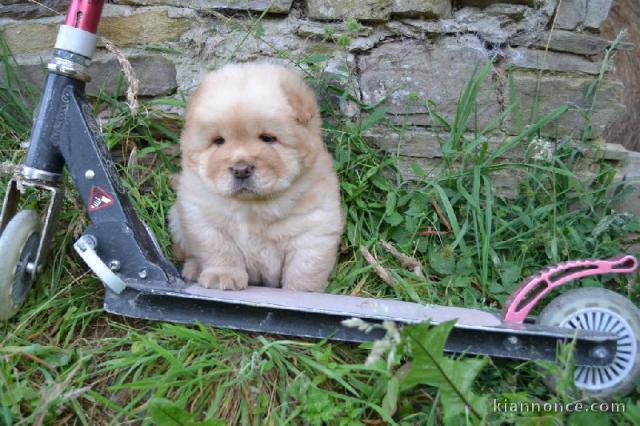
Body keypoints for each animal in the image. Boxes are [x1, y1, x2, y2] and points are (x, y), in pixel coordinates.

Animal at [168, 61, 342, 292]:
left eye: (267, 138)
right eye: (219, 141)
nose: (241, 169)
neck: (252, 207)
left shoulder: (314, 228)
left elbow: (304, 269)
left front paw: (300, 292)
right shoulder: (201, 218)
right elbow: (220, 250)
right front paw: (223, 276)